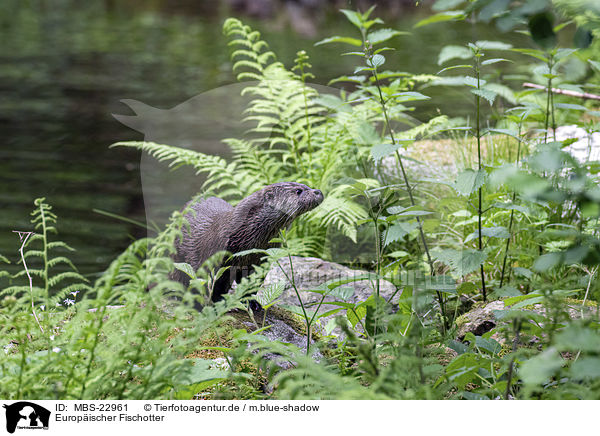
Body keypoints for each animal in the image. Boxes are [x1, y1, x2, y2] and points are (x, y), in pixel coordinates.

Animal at [171, 182, 326, 304]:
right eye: (298, 191)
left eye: (307, 186)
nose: (318, 191)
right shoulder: (218, 259)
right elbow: (215, 285)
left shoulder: (261, 261)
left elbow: (252, 285)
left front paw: (252, 303)